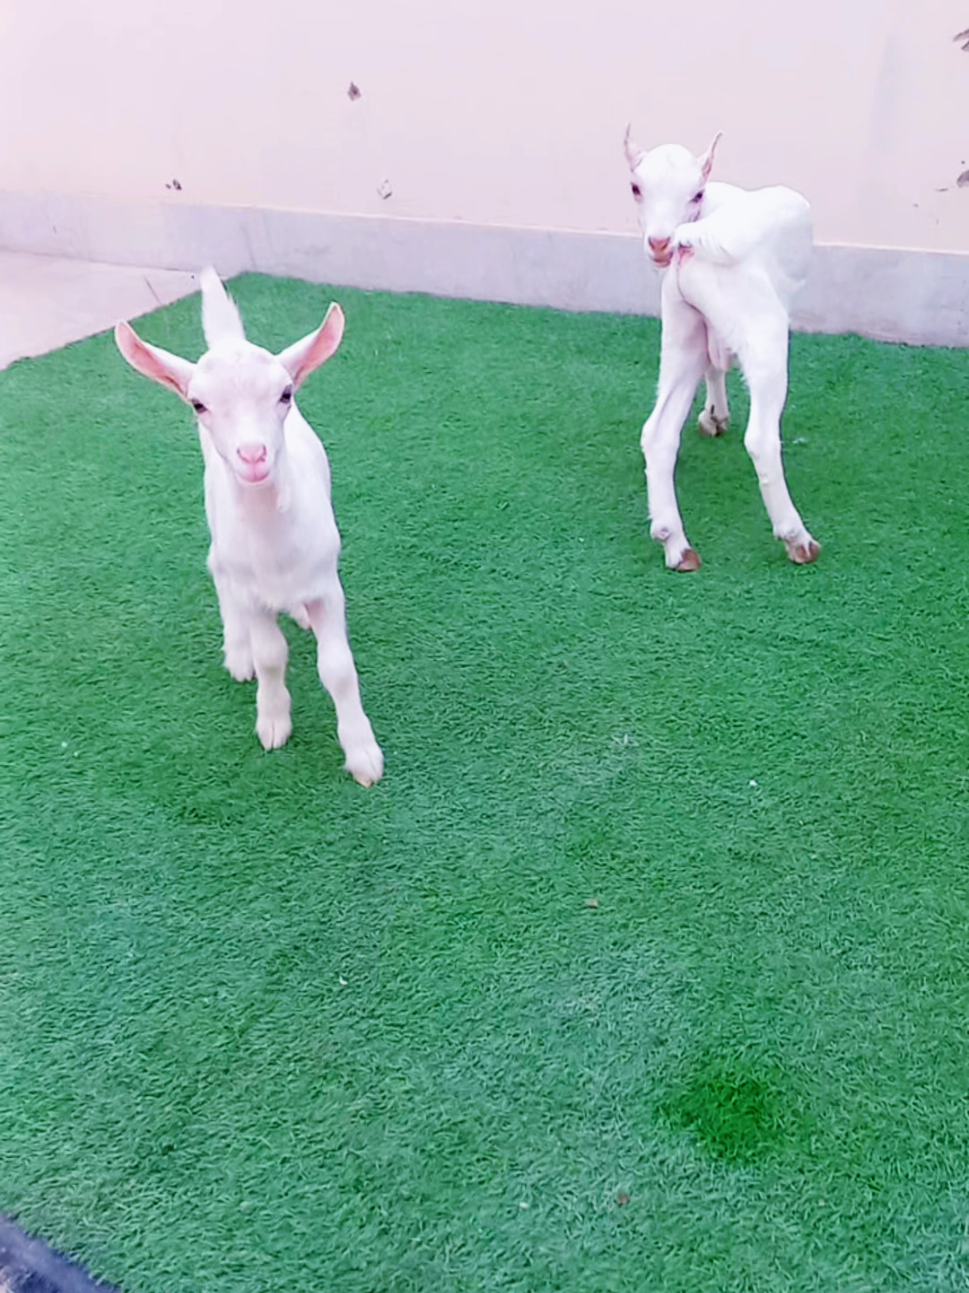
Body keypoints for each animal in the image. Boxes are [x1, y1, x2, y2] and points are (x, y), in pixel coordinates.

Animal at [114, 269, 383, 786]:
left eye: (285, 394)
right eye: (198, 404)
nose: (253, 455)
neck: (274, 549)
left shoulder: (327, 584)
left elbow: (338, 668)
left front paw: (362, 753)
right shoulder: (254, 592)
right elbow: (271, 655)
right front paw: (273, 721)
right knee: (218, 571)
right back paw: (237, 652)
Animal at [625, 127, 819, 570]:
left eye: (694, 192)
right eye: (636, 187)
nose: (659, 244)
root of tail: (691, 239)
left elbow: (714, 367)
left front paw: (714, 415)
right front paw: (716, 416)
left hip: (680, 330)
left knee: (657, 432)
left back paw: (675, 542)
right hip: (763, 330)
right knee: (761, 439)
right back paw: (797, 538)